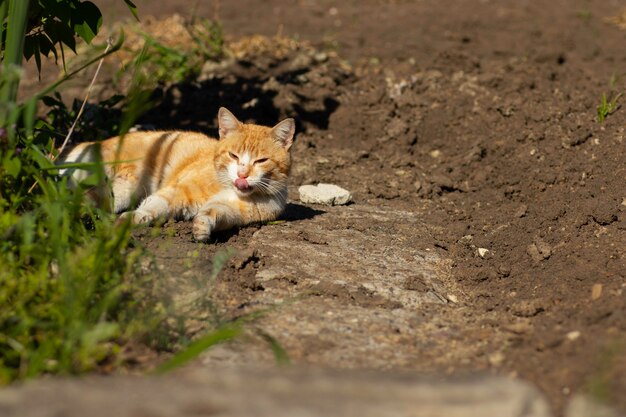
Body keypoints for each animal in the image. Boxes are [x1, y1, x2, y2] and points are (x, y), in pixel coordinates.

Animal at [62, 107, 294, 240]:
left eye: (261, 160)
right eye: (233, 155)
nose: (242, 174)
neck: (230, 188)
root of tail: (90, 144)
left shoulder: (228, 210)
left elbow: (212, 214)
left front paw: (201, 229)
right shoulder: (176, 192)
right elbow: (154, 205)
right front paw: (133, 219)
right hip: (120, 191)